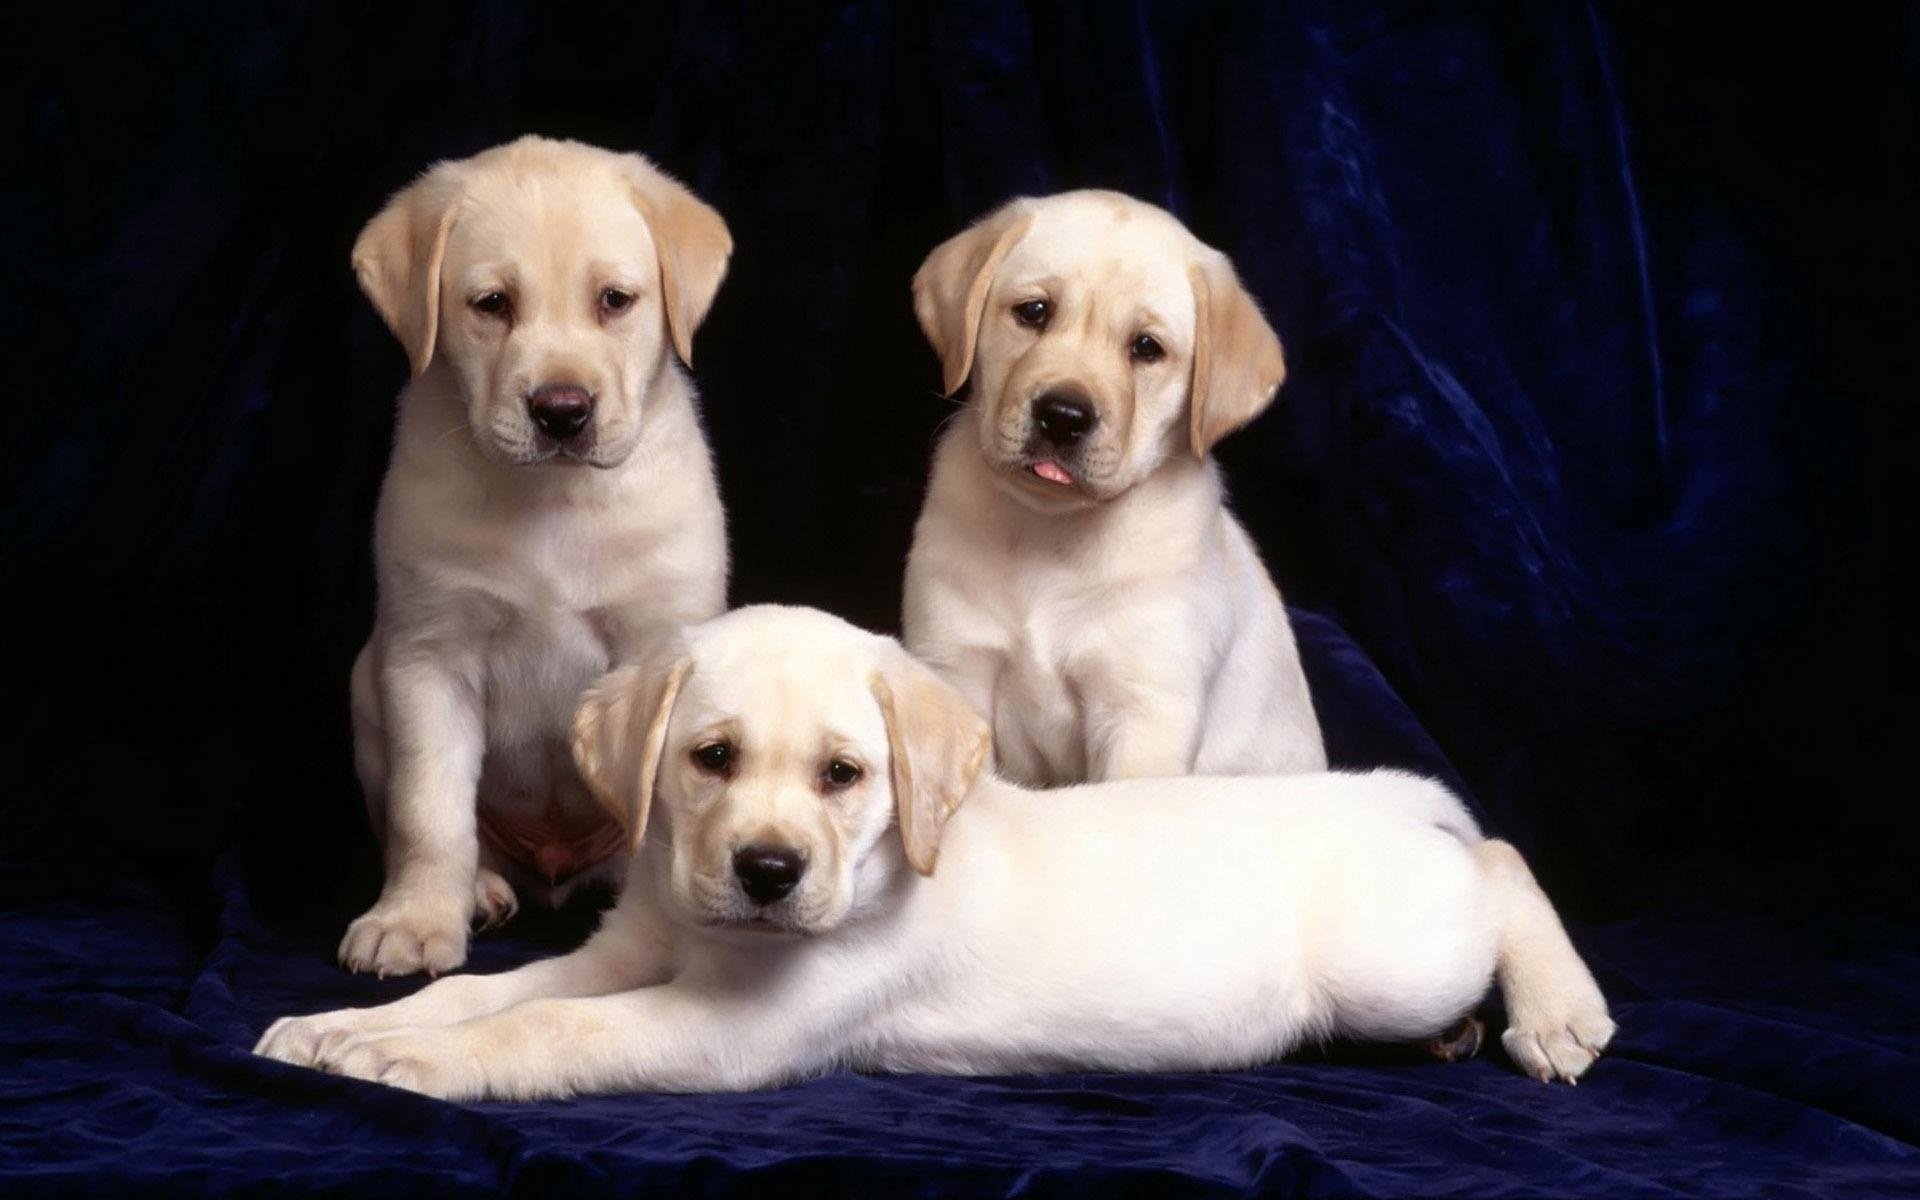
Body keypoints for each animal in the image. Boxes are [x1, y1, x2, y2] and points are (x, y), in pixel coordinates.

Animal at [247, 602, 1612, 1098]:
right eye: (710, 759)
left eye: (845, 776)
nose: (768, 873)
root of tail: (1385, 797)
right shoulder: (626, 952)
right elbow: (497, 988)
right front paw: (343, 1028)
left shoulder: (731, 1027)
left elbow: (545, 1028)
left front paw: (409, 1064)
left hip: (1393, 950)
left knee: (1499, 862)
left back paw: (1557, 1012)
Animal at [337, 133, 733, 975]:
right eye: (492, 305)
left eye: (614, 301)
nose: (562, 411)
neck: (552, 499)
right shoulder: (429, 655)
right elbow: (429, 811)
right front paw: (415, 919)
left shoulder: (657, 642)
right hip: (365, 684)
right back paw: (481, 889)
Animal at [894, 189, 1320, 787]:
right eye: (1034, 312)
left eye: (1146, 348)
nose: (1063, 417)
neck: (1049, 530)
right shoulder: (956, 666)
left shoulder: (1145, 712)